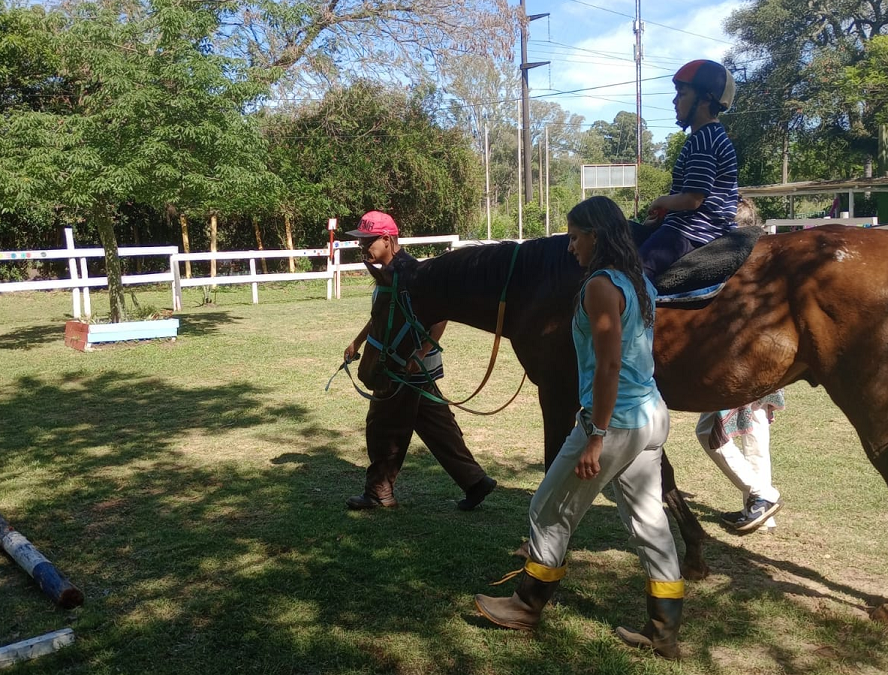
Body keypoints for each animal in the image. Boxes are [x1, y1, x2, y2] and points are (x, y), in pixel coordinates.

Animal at [358, 227, 888, 624]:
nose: (366, 371)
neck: (539, 285)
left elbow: (556, 469)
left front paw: (540, 550)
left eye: (380, 308)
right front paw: (694, 555)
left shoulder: (562, 395)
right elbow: (665, 480)